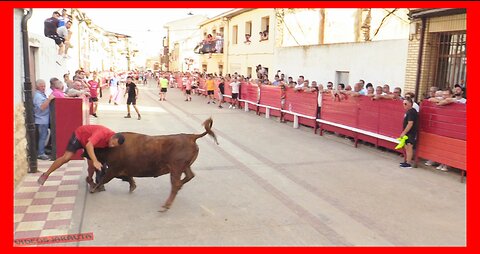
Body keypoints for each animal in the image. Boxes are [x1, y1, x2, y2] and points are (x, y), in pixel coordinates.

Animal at [90, 118, 218, 211]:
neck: (111, 147)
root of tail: (191, 137)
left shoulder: (113, 169)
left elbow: (105, 179)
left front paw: (94, 189)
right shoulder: (117, 170)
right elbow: (125, 177)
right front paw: (132, 186)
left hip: (176, 169)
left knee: (175, 184)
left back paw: (166, 206)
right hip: (184, 167)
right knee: (189, 176)